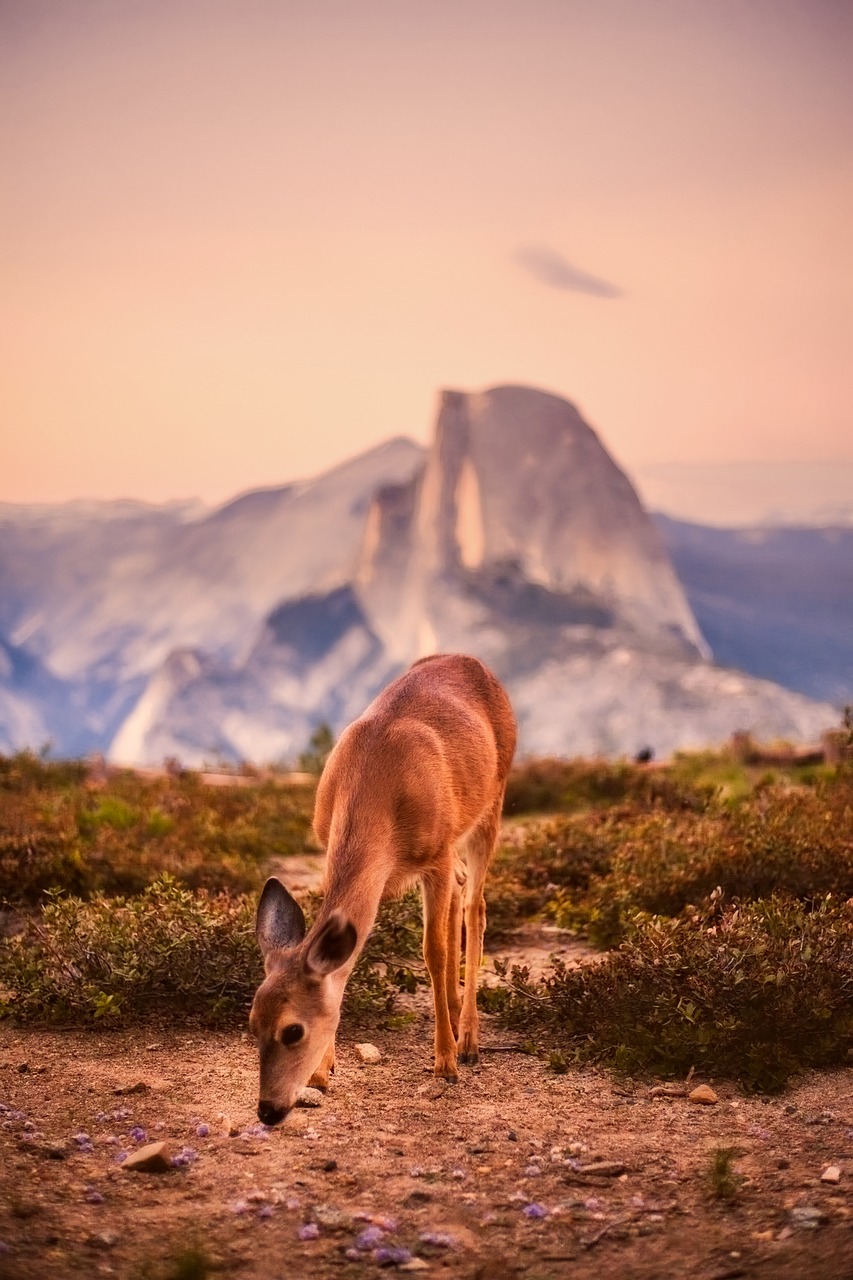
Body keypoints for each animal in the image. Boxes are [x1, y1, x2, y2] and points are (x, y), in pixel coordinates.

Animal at [245, 655, 512, 1126]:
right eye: (251, 1024)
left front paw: (445, 1063)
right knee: (462, 891)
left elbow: (433, 950)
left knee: (475, 906)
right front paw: (322, 1072)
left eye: (293, 1030)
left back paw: (468, 1038)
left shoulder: (435, 854)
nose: (268, 1111)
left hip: (490, 804)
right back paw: (454, 1005)